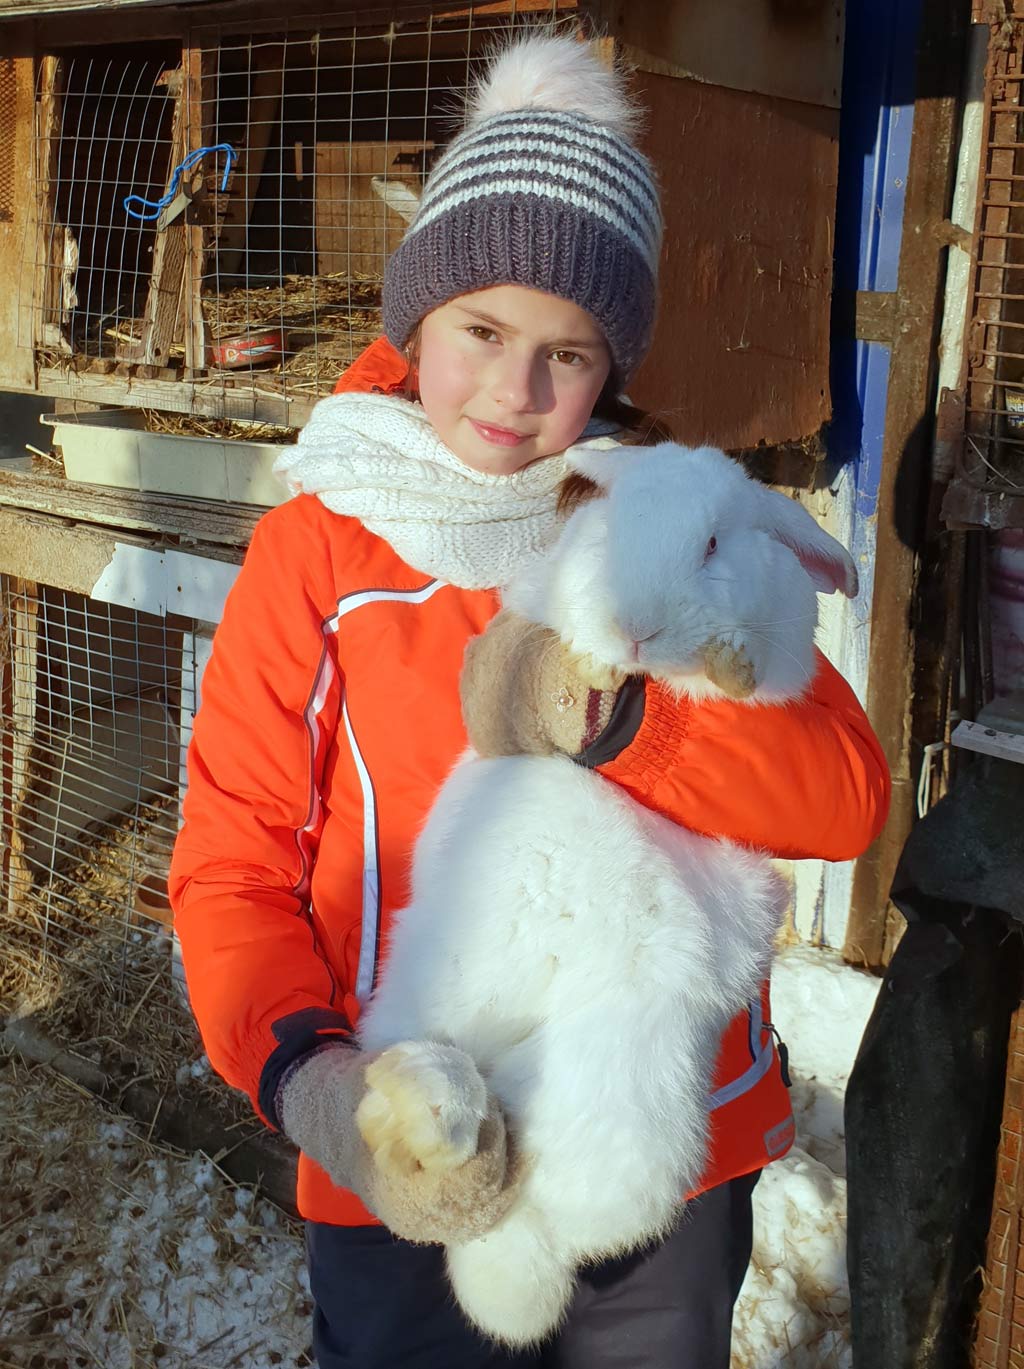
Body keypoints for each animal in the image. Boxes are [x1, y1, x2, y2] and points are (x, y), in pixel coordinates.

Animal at [355, 443, 859, 1341]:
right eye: (608, 527)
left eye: (713, 544)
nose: (635, 628)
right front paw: (584, 669)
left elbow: (745, 677)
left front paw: (723, 661)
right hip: (424, 994)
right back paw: (423, 1105)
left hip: (619, 1081)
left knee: (528, 1184)